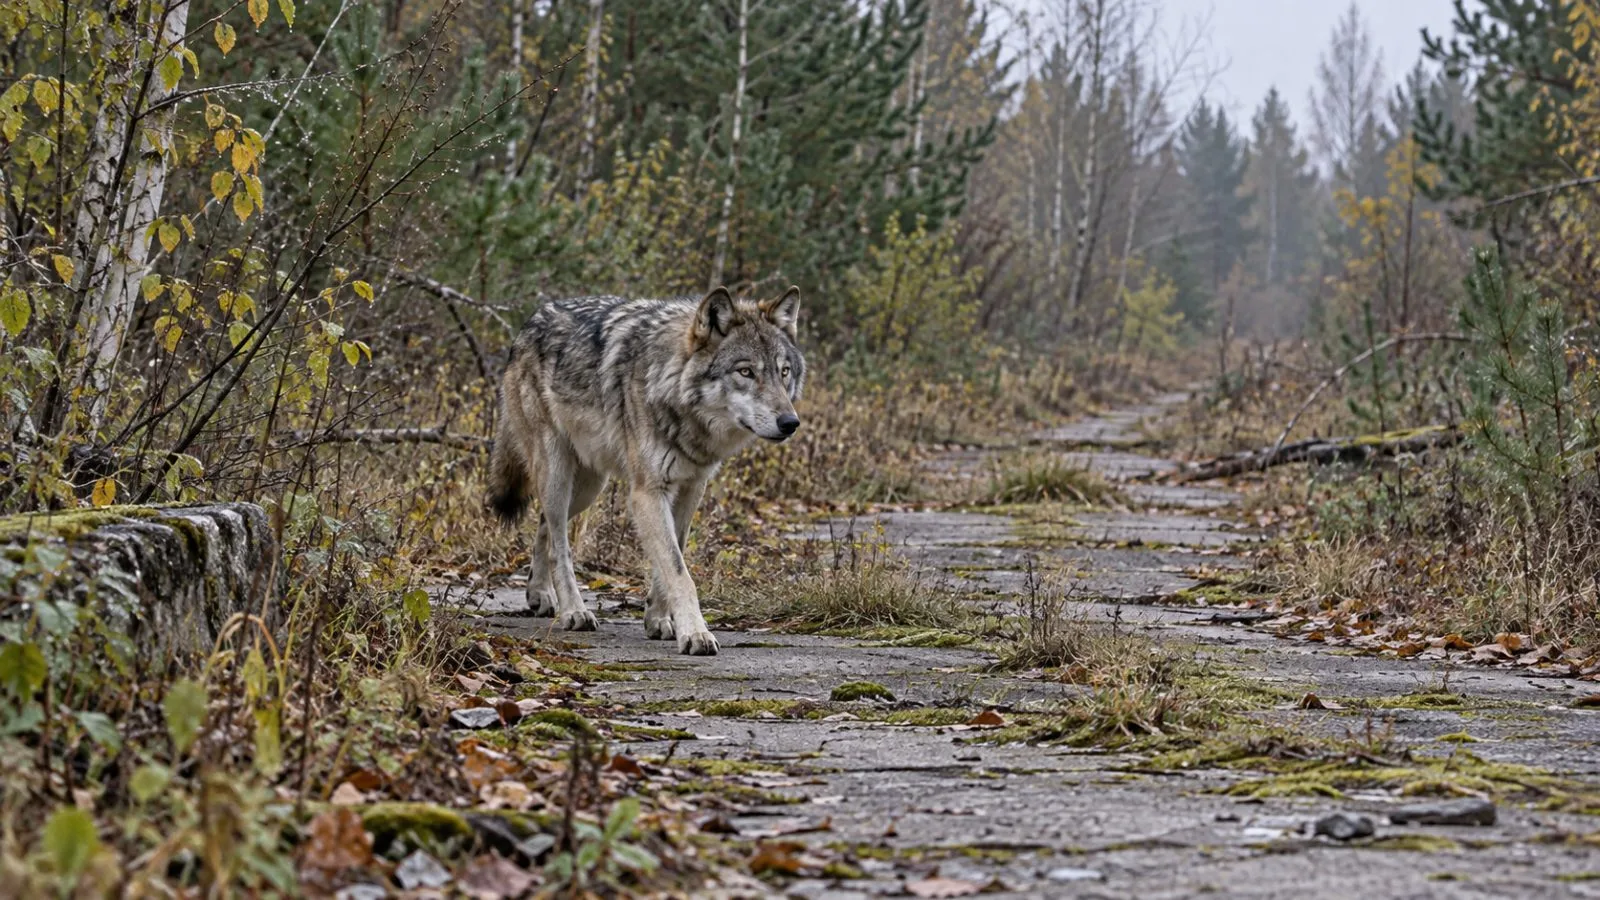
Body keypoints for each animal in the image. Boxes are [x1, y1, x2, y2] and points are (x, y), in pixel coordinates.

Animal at [488, 285, 805, 655]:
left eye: (784, 371)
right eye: (745, 372)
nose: (790, 422)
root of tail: (531, 321)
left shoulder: (690, 488)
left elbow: (672, 557)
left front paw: (658, 619)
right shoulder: (647, 493)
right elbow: (679, 572)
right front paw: (695, 633)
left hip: (588, 487)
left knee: (545, 528)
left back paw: (539, 594)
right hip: (557, 473)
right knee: (558, 543)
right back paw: (574, 611)